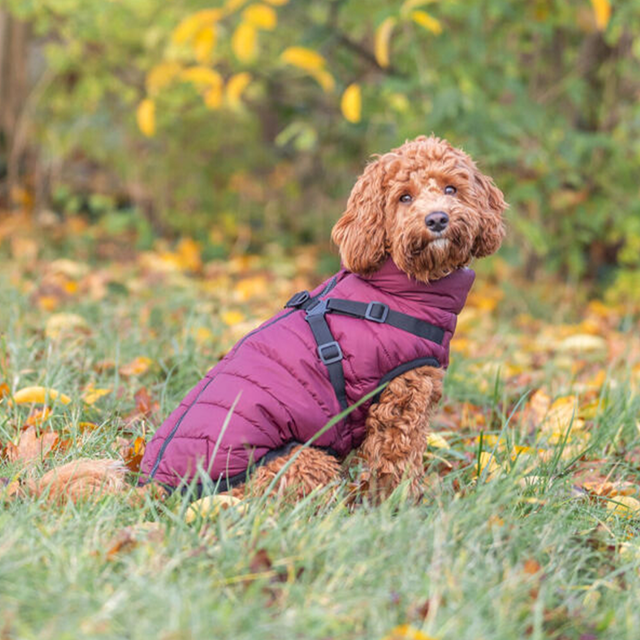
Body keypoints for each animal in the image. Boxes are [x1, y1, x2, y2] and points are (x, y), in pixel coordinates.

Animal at [138, 138, 508, 502]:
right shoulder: (402, 400)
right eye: (404, 197)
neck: (396, 286)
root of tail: (156, 487)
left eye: (451, 189)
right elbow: (397, 464)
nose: (437, 219)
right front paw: (400, 507)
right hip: (303, 462)